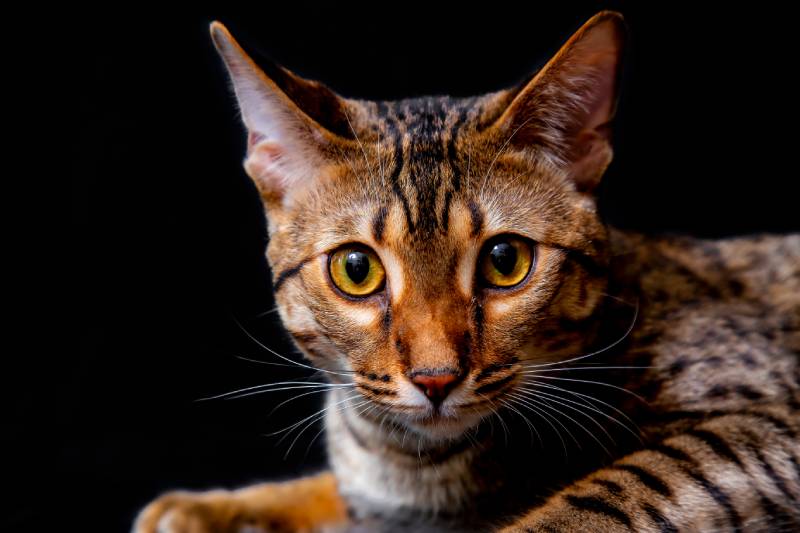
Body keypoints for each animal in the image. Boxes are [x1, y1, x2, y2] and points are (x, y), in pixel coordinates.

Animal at [134, 12, 796, 532]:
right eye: (356, 269)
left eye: (506, 262)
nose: (435, 379)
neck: (408, 464)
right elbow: (326, 489)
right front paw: (212, 507)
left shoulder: (768, 422)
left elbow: (602, 500)